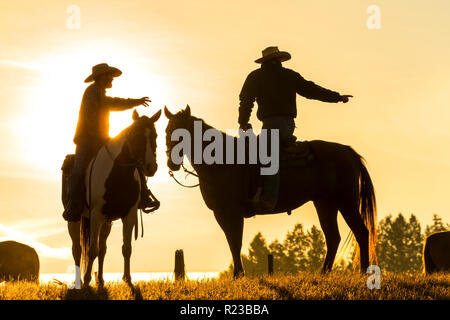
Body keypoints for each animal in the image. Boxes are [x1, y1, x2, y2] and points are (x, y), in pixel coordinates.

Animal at [67, 109, 161, 286]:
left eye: (155, 135)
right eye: (135, 135)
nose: (151, 167)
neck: (118, 173)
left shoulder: (129, 215)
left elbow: (126, 248)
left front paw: (127, 279)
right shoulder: (96, 215)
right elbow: (92, 250)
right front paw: (88, 279)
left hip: (107, 221)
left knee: (103, 249)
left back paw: (101, 280)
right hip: (75, 219)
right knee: (77, 249)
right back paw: (80, 281)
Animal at [164, 106, 376, 276]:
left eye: (181, 134)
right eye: (166, 131)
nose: (171, 164)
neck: (221, 161)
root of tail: (348, 152)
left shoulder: (231, 213)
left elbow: (235, 242)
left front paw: (238, 275)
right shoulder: (222, 213)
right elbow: (232, 242)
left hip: (346, 202)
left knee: (361, 232)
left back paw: (363, 272)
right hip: (325, 204)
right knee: (333, 237)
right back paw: (323, 272)